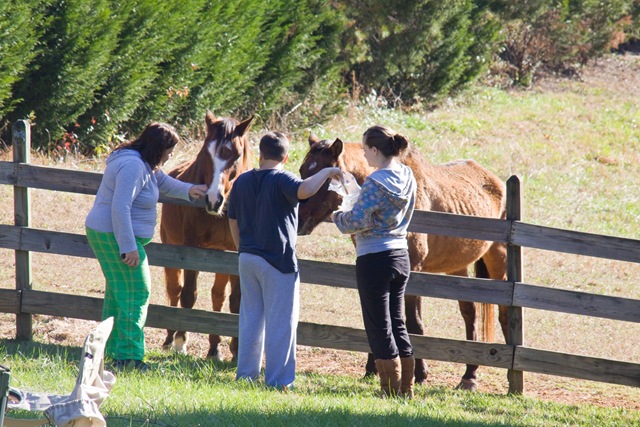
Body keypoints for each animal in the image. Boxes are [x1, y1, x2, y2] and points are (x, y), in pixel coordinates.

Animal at [159, 110, 253, 359]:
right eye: (205, 152)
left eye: (236, 155)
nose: (213, 199)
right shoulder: (191, 249)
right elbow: (188, 295)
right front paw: (181, 342)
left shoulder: (235, 253)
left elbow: (236, 301)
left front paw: (236, 350)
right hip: (171, 249)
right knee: (174, 290)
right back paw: (169, 339)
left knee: (217, 297)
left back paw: (213, 349)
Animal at [297, 134, 508, 391]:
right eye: (303, 171)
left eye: (325, 177)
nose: (298, 219)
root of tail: (494, 180)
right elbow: (378, 317)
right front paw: (372, 369)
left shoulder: (412, 274)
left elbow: (413, 324)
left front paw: (420, 374)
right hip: (458, 268)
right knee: (470, 314)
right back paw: (470, 374)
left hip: (498, 261)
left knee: (504, 314)